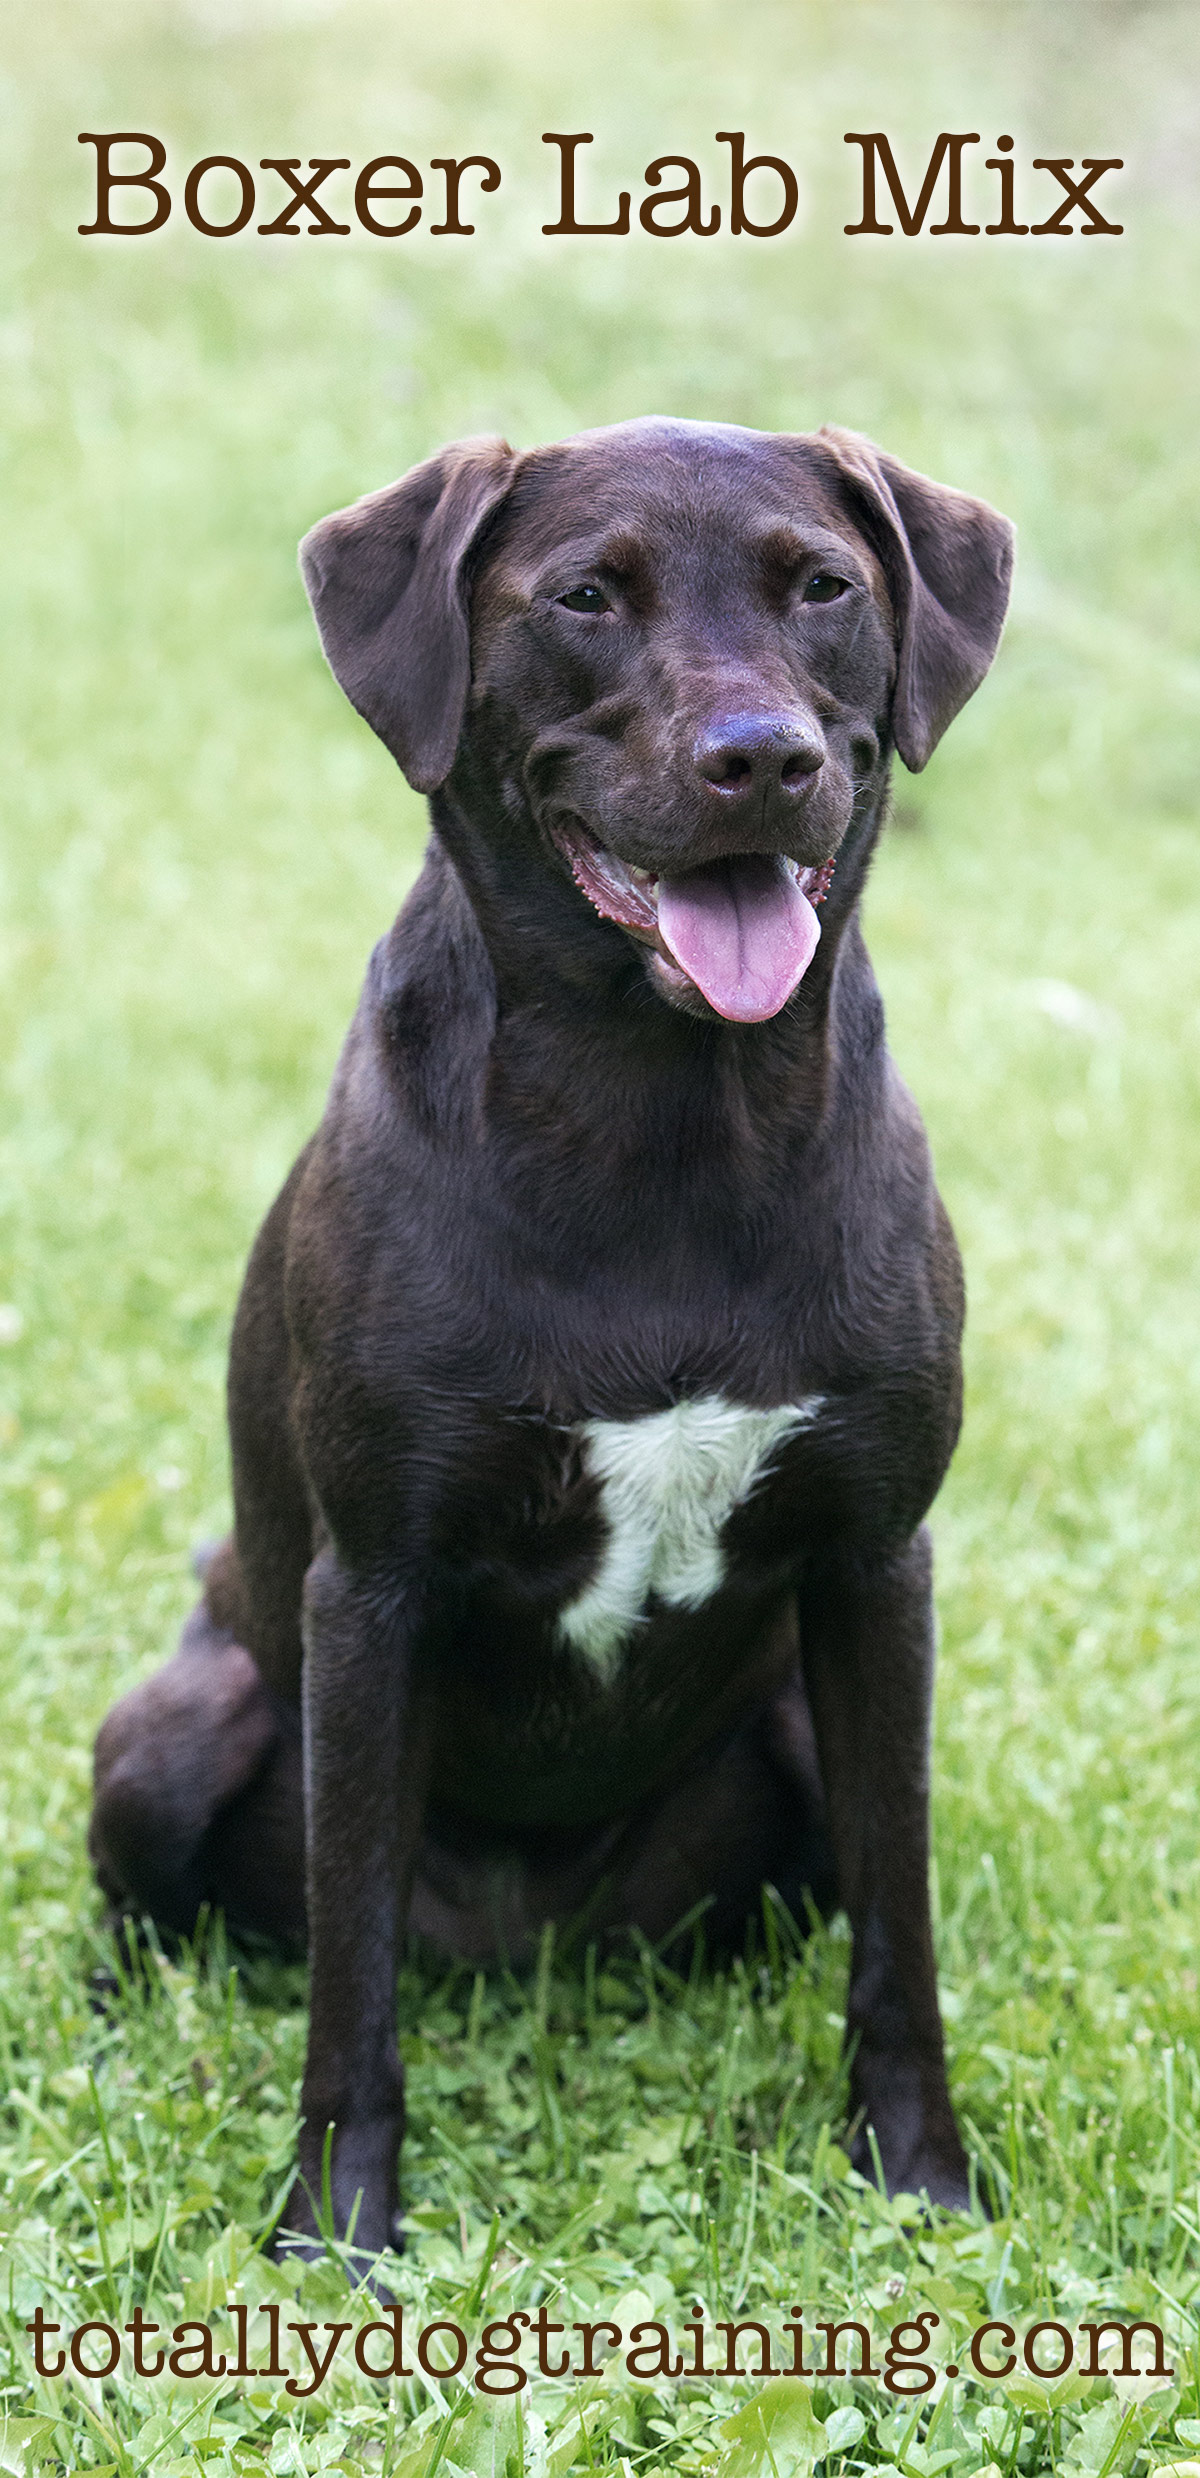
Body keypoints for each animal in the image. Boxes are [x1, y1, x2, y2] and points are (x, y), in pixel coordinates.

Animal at [91, 416, 1011, 2259]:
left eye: (826, 585)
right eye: (586, 596)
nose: (761, 756)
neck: (662, 1114)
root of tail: (525, 1946)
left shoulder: (878, 1565)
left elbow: (905, 1933)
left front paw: (921, 2185)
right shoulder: (372, 1589)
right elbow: (351, 1973)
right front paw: (335, 2234)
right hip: (171, 1730)